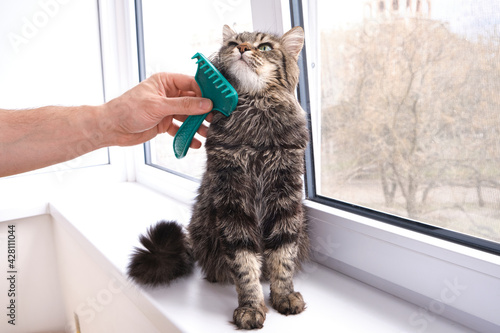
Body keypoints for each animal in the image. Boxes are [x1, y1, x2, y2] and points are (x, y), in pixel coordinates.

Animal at [128, 24, 308, 328]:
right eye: (234, 43)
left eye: (265, 48)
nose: (243, 49)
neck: (254, 109)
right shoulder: (232, 199)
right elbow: (244, 265)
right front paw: (251, 307)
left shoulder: (285, 195)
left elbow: (282, 256)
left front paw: (284, 295)